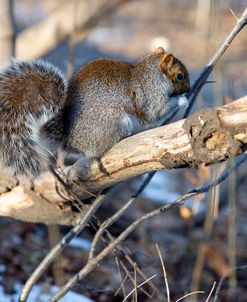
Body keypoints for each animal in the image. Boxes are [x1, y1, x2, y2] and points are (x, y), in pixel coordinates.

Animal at [0, 47, 189, 179]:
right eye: (180, 75)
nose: (188, 88)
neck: (153, 74)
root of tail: (69, 138)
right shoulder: (151, 95)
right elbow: (154, 113)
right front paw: (182, 99)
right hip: (114, 122)